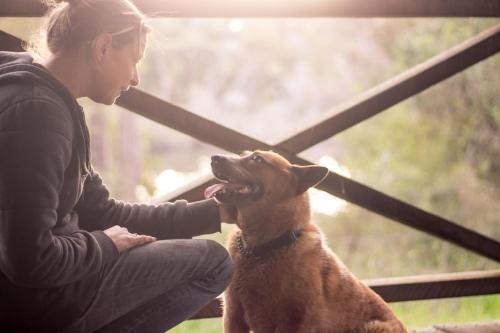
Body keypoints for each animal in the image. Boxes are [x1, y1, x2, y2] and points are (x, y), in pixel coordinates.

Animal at [206, 151, 406, 332]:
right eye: (243, 154)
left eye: (257, 159)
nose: (214, 157)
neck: (259, 250)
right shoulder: (233, 315)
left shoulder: (293, 321)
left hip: (374, 327)